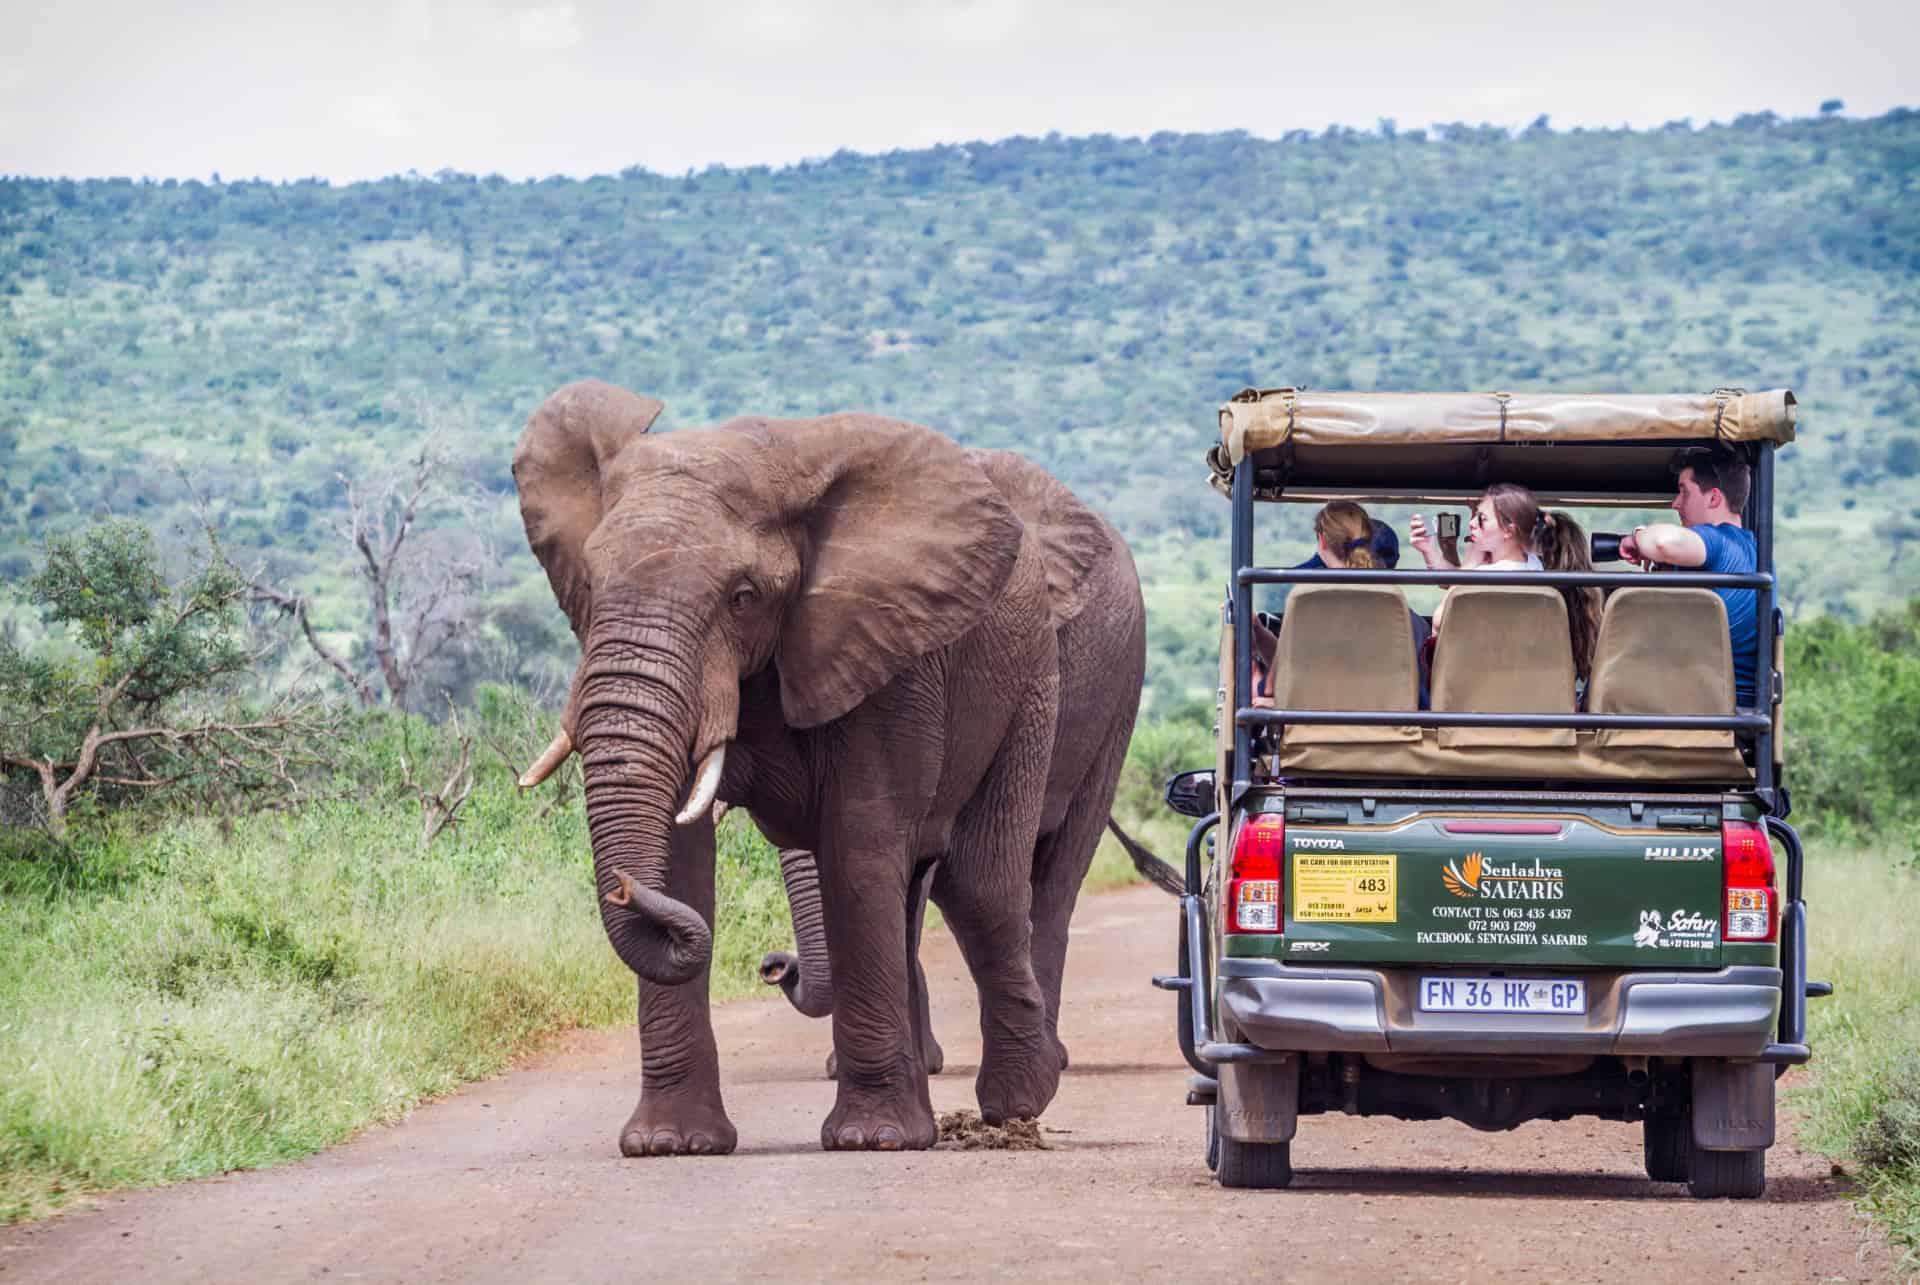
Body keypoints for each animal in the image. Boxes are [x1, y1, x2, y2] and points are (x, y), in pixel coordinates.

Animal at [506, 378, 1136, 1152]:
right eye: (589, 586)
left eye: (743, 597)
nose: (773, 964)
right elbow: (683, 860)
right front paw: (670, 1145)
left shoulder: (891, 653)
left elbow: (859, 845)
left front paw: (872, 1140)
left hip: (1045, 684)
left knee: (985, 885)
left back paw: (1017, 1104)